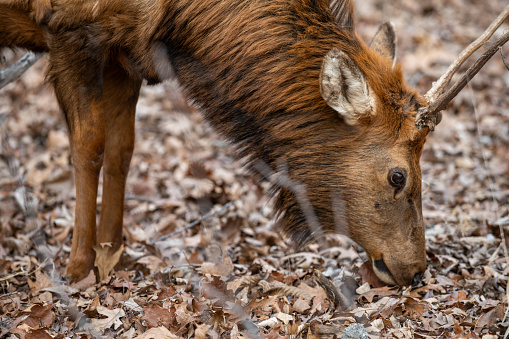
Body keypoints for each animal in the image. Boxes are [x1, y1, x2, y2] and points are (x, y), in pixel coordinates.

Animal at [0, 0, 508, 286]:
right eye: (398, 175)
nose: (416, 270)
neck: (175, 19)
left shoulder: (125, 50)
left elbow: (123, 150)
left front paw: (113, 257)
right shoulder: (69, 30)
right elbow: (88, 147)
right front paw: (77, 269)